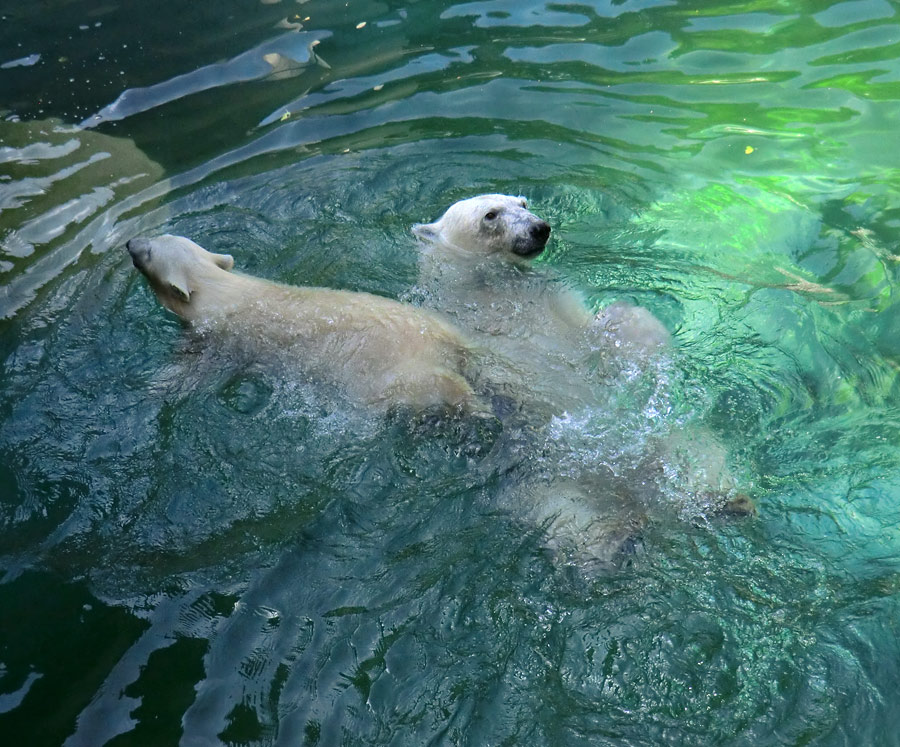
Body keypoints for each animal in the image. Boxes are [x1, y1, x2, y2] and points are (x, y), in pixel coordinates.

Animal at [125, 235, 486, 412]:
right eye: (159, 235)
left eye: (147, 255)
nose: (130, 243)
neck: (221, 290)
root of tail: (449, 347)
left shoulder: (218, 339)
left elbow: (189, 368)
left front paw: (152, 388)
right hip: (438, 325)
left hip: (400, 376)